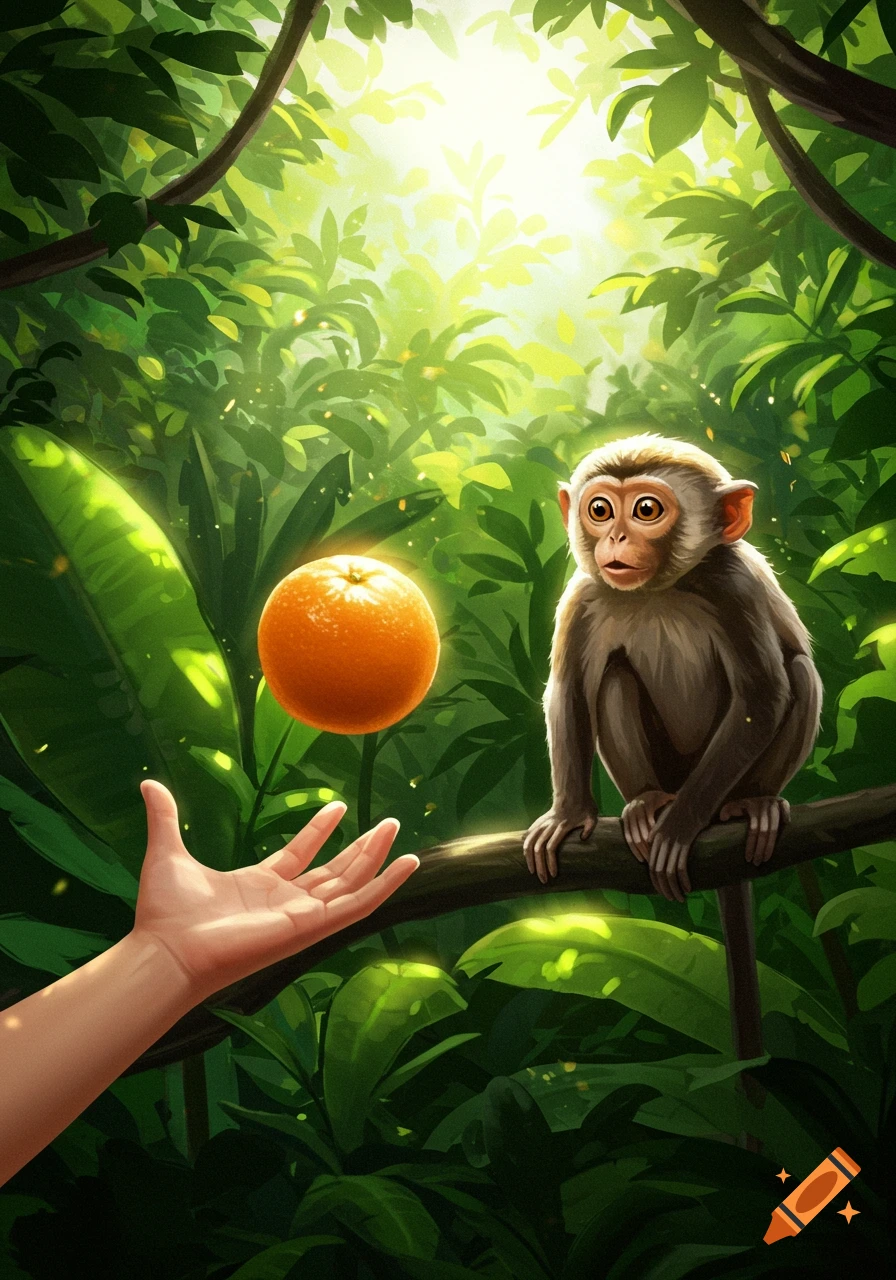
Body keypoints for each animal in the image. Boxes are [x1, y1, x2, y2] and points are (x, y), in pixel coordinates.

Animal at [522, 433, 822, 1060]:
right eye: (600, 509)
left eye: (646, 510)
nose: (614, 540)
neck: (664, 588)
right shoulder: (583, 592)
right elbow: (569, 691)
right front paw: (569, 814)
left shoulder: (734, 586)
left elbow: (764, 693)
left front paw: (681, 828)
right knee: (613, 676)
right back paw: (646, 803)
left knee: (800, 674)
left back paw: (749, 804)